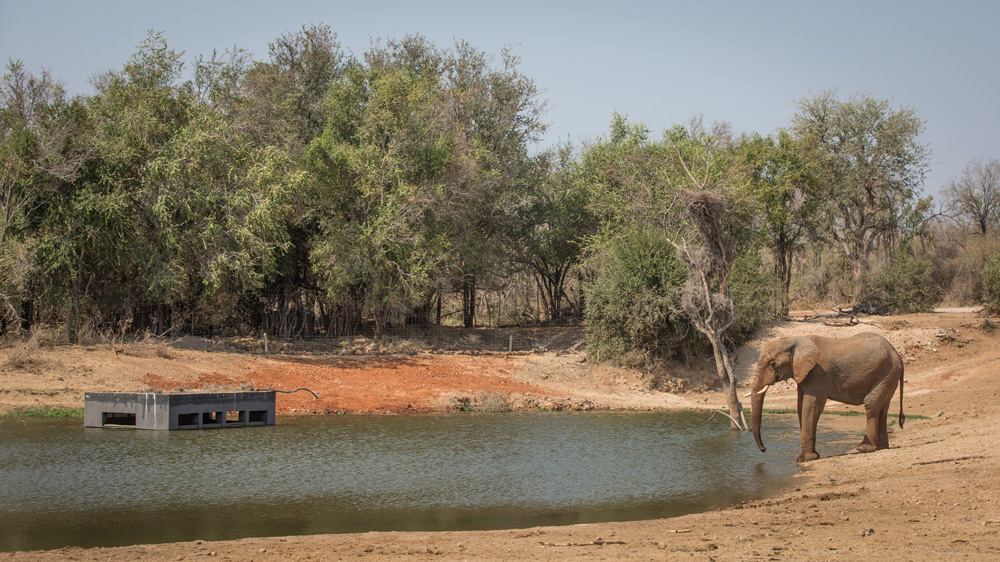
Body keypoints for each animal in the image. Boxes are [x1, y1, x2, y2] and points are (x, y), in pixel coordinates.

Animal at [752, 332, 908, 460]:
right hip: (888, 375)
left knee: (871, 404)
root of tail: (897, 354)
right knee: (883, 408)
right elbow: (800, 406)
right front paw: (811, 456)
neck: (794, 340)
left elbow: (811, 406)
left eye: (772, 364)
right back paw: (881, 447)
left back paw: (864, 448)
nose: (764, 449)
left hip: (887, 372)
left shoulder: (818, 372)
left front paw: (805, 459)